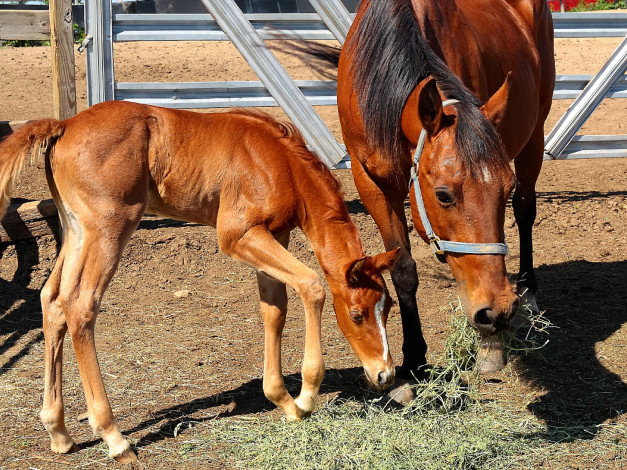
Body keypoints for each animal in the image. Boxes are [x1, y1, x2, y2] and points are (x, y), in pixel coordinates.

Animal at [0, 103, 400, 462]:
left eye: (389, 308)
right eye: (358, 314)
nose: (385, 374)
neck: (279, 162)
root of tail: (63, 125)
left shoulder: (274, 235)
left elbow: (274, 310)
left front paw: (283, 400)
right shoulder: (238, 236)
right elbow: (313, 285)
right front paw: (305, 397)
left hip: (75, 230)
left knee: (52, 300)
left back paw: (58, 431)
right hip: (110, 227)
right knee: (81, 306)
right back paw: (115, 439)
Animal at [302, 0, 556, 376]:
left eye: (504, 189)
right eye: (443, 195)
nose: (498, 310)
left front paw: (491, 347)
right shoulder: (372, 185)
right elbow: (402, 270)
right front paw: (414, 359)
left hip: (535, 133)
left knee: (526, 211)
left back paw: (528, 293)